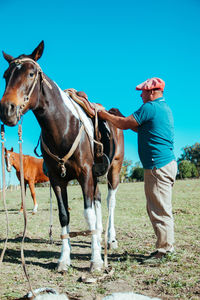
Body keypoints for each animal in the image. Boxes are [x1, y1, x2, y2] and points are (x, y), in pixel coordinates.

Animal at [0, 41, 123, 274]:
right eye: (5, 75)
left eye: (31, 74)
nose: (6, 110)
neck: (64, 127)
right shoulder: (57, 180)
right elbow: (64, 215)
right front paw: (64, 259)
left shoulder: (85, 175)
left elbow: (88, 214)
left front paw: (95, 261)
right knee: (98, 200)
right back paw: (99, 236)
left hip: (114, 170)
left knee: (110, 202)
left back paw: (110, 239)